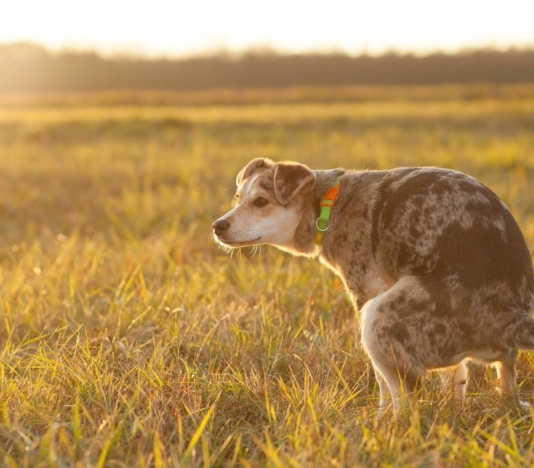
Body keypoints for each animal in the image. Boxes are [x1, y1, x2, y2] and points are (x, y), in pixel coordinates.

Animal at [214, 159, 534, 412]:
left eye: (261, 202)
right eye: (238, 198)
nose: (218, 226)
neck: (327, 205)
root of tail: (511, 316)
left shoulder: (366, 292)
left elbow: (383, 385)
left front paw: (380, 417)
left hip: (379, 318)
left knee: (408, 398)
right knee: (490, 379)